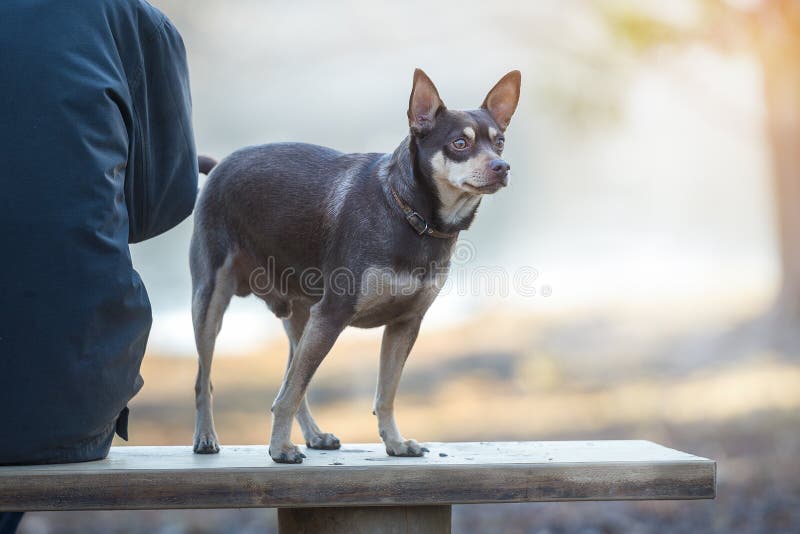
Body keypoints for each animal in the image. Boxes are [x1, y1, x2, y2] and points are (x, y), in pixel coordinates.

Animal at [191, 70, 520, 464]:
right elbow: (291, 392)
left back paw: (314, 435)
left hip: (302, 318)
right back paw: (207, 436)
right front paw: (279, 448)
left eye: (499, 142)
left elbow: (385, 394)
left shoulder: (404, 325)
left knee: (289, 378)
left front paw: (395, 443)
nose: (502, 167)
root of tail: (219, 166)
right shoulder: (333, 314)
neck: (411, 215)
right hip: (210, 303)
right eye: (459, 143)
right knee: (208, 379)